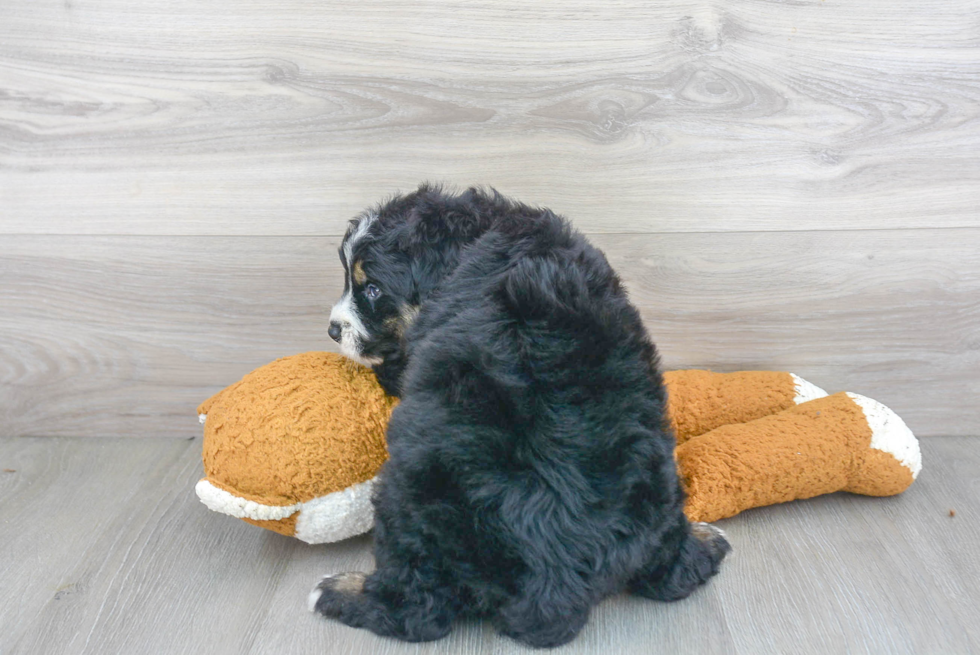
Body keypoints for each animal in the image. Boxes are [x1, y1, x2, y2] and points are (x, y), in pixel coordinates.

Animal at [310, 184, 732, 652]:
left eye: (372, 290)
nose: (332, 329)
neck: (483, 235)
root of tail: (557, 580)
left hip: (406, 496)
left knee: (418, 611)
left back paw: (337, 592)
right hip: (659, 483)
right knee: (674, 571)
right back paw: (705, 541)